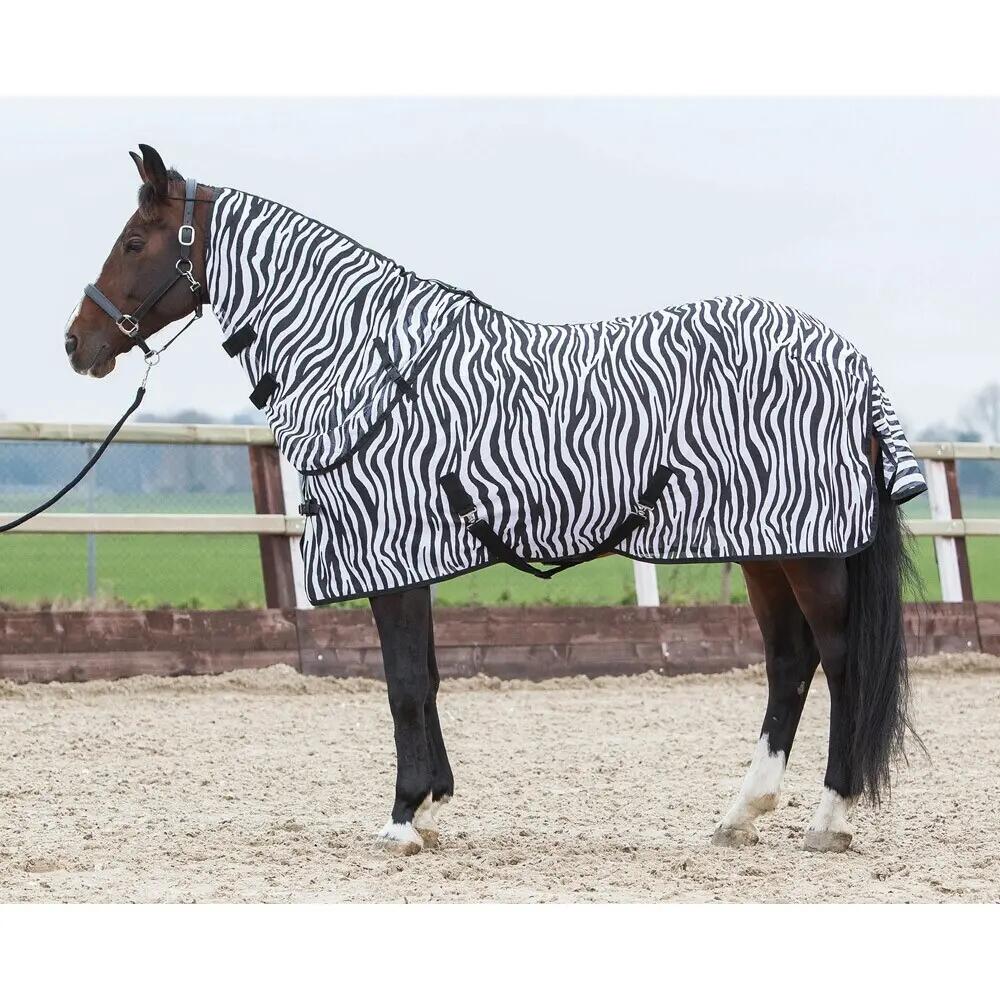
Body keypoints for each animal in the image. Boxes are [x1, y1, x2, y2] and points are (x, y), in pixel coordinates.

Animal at [65, 144, 923, 855]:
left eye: (134, 242)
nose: (78, 344)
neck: (364, 362)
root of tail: (851, 360)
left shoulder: (391, 554)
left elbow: (405, 684)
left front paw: (402, 819)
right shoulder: (407, 559)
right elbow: (428, 677)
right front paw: (432, 805)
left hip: (810, 554)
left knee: (839, 661)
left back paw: (830, 819)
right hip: (765, 549)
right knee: (789, 662)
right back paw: (740, 814)